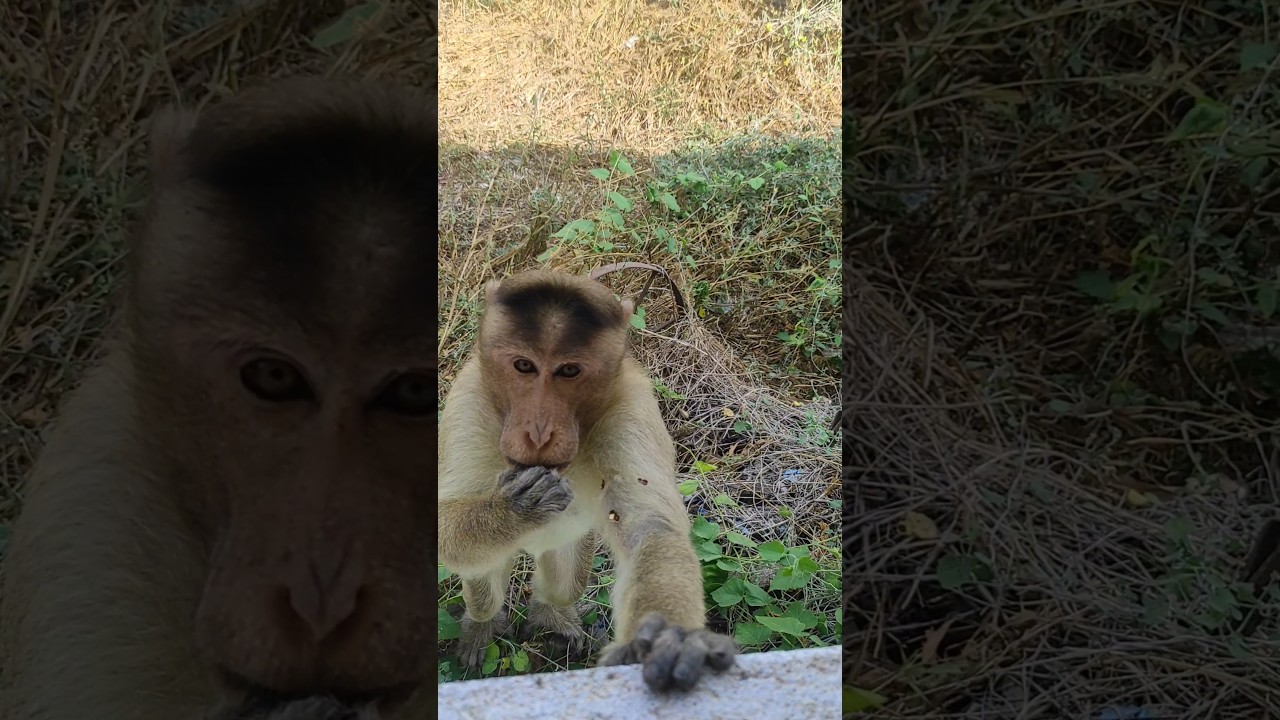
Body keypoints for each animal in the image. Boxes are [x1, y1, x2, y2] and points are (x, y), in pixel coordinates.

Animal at [437, 269, 739, 692]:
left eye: (569, 371)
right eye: (524, 366)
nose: (539, 432)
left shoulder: (630, 408)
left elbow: (650, 528)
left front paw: (670, 639)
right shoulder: (468, 400)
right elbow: (443, 522)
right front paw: (514, 510)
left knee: (566, 579)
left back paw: (551, 612)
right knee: (481, 574)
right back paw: (483, 622)